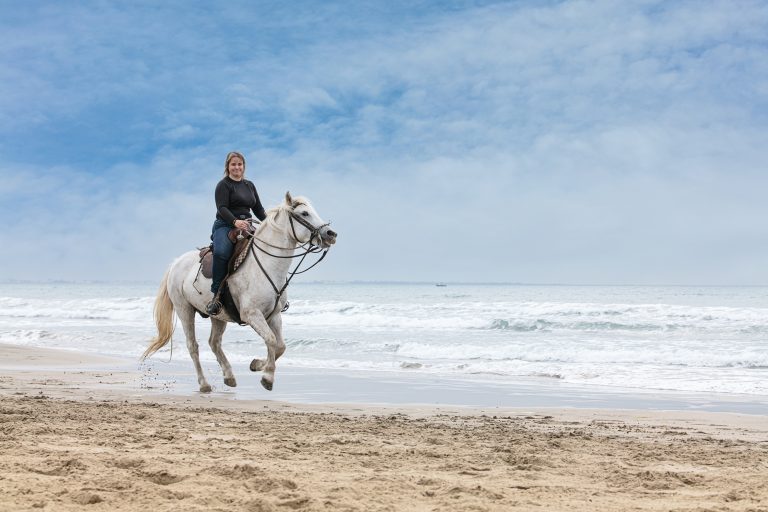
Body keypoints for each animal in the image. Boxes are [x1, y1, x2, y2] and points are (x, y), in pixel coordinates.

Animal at [142, 192, 334, 392]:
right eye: (304, 213)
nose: (331, 234)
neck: (267, 265)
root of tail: (176, 263)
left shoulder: (273, 315)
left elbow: (280, 345)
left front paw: (257, 364)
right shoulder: (252, 314)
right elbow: (271, 340)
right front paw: (267, 377)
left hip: (218, 315)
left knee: (214, 343)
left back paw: (229, 376)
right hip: (184, 309)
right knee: (193, 346)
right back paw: (204, 384)